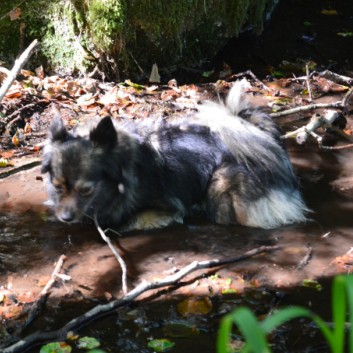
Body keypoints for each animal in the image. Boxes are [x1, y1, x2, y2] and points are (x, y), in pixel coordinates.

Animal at [41, 80, 308, 230]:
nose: (65, 218)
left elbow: (129, 220)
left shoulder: (163, 208)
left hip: (222, 184)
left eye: (86, 190)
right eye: (58, 187)